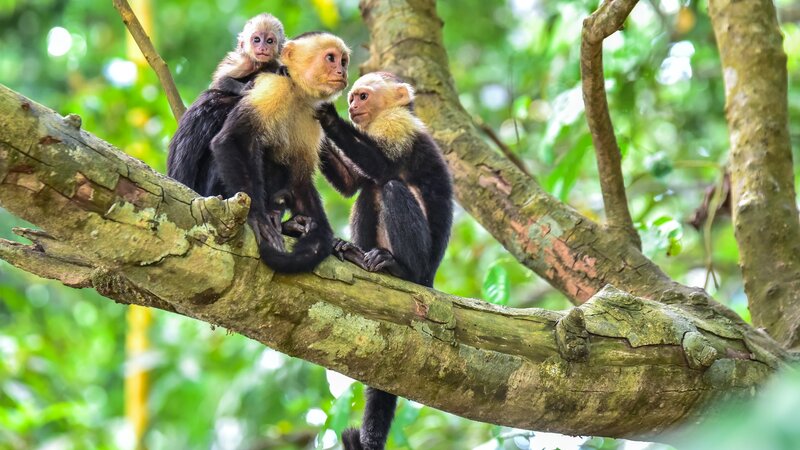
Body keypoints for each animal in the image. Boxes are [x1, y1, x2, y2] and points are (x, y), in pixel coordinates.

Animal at [209, 30, 350, 270]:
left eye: (343, 61)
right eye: (331, 58)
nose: (342, 71)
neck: (296, 91)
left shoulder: (313, 117)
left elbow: (299, 180)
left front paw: (322, 237)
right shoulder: (273, 88)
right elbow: (233, 140)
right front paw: (257, 217)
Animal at [314, 72, 454, 448]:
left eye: (362, 96)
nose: (351, 106)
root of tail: (430, 278)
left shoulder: (398, 125)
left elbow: (385, 166)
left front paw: (328, 117)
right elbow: (353, 184)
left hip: (422, 265)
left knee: (389, 186)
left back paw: (398, 269)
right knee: (369, 191)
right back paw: (355, 255)